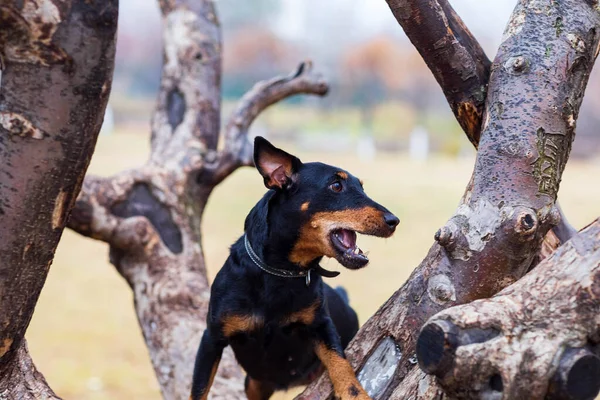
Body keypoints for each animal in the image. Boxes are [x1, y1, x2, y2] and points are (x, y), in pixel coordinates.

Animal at [192, 138, 398, 400]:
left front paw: (356, 394)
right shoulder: (211, 340)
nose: (394, 221)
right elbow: (198, 389)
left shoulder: (321, 326)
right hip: (254, 383)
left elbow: (340, 362)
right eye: (336, 186)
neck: (281, 272)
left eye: (361, 187)